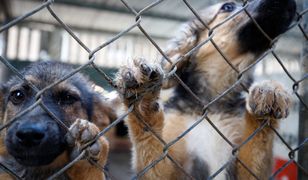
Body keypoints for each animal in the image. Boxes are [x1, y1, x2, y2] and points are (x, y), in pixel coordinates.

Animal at [115, 0, 296, 179]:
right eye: (228, 7)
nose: (293, 3)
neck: (211, 102)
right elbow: (148, 137)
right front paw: (142, 97)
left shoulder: (247, 166)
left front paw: (270, 89)